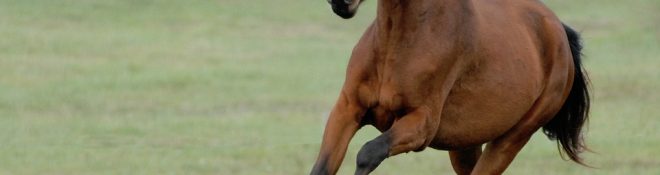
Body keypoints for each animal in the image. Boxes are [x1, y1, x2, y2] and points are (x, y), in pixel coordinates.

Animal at [312, 0, 592, 175]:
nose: (340, 2)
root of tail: (558, 30)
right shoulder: (347, 110)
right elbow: (323, 167)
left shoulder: (421, 125)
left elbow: (368, 154)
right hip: (465, 144)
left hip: (512, 138)